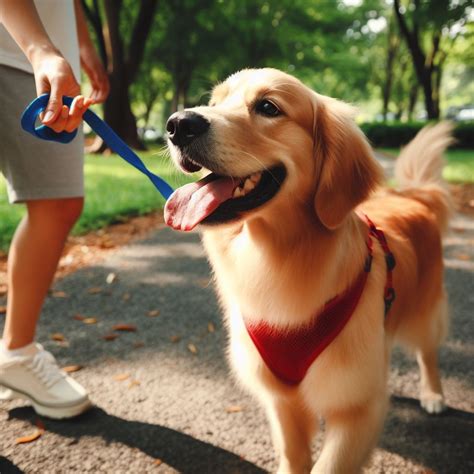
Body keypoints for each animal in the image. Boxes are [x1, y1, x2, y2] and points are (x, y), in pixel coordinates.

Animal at [163, 68, 452, 472]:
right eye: (215, 102)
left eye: (268, 107)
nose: (178, 124)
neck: (276, 255)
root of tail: (413, 197)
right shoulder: (281, 400)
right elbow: (294, 454)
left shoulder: (356, 407)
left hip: (424, 307)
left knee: (428, 350)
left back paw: (433, 394)